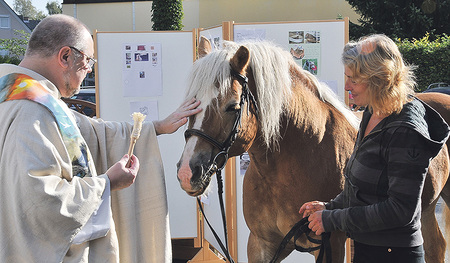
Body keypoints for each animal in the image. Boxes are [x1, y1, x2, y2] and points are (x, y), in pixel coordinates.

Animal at [176, 37, 450, 263]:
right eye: (190, 103)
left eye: (232, 106)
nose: (187, 173)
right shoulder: (261, 244)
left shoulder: (330, 245)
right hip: (426, 209)